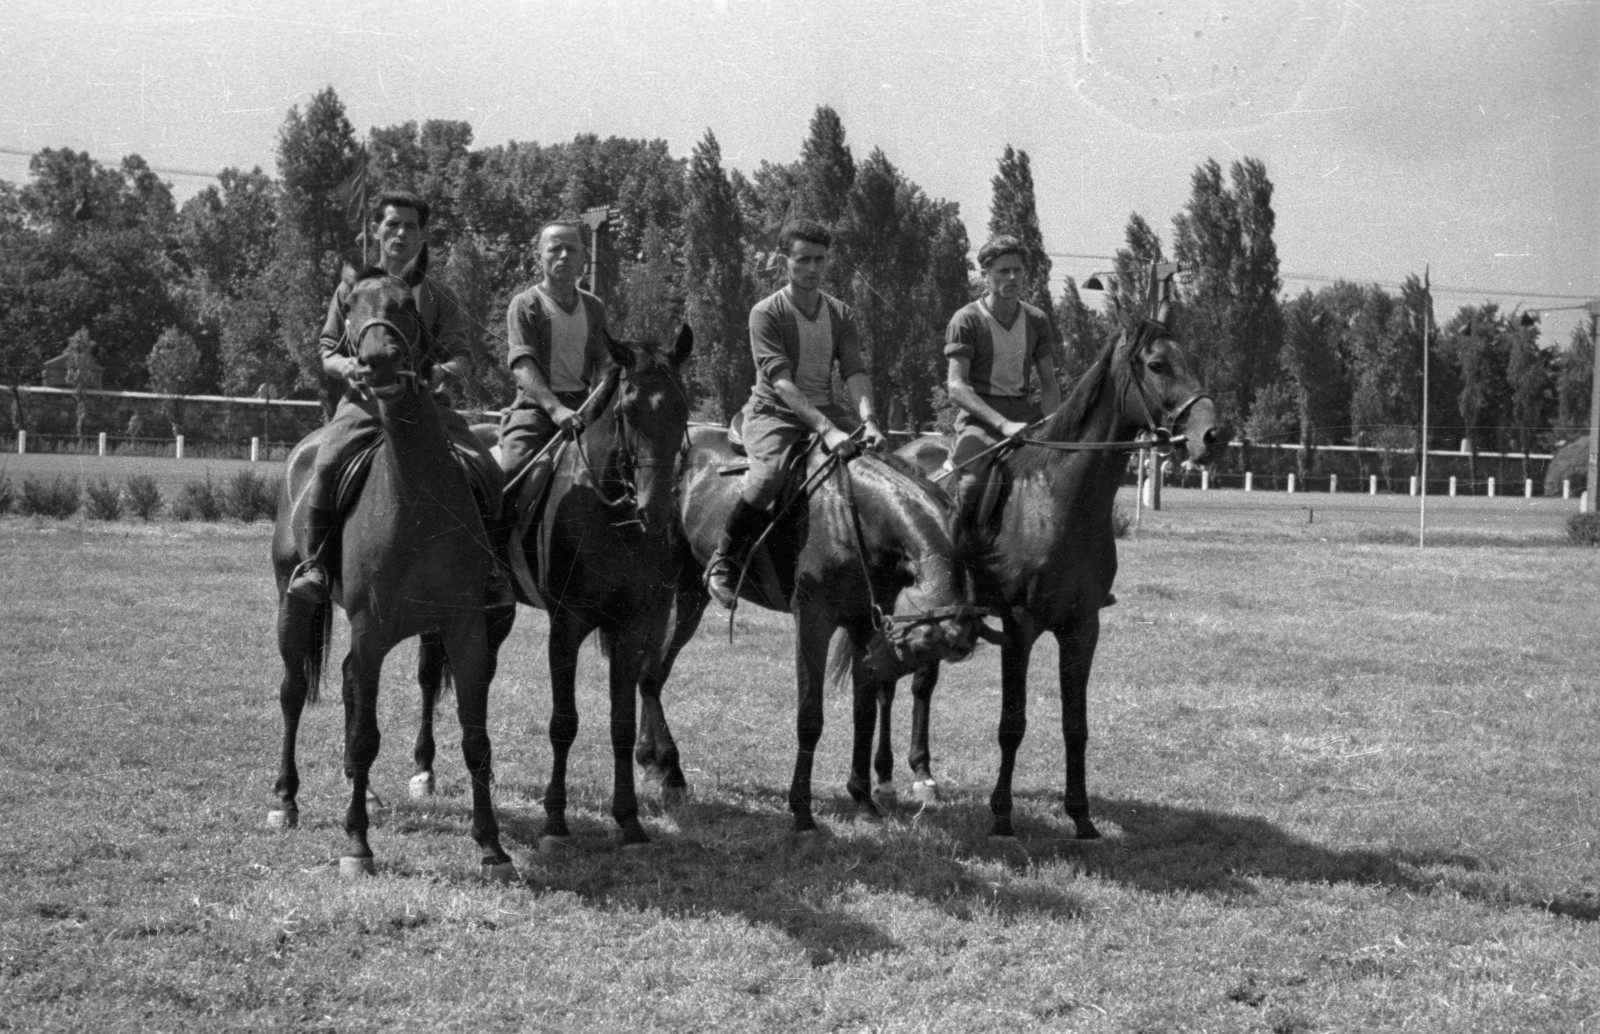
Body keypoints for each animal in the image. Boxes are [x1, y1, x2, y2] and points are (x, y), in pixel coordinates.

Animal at [412, 326, 694, 851]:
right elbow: (564, 722)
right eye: (628, 411)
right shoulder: (567, 625)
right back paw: (424, 769)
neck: (607, 514)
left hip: (497, 611)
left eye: (681, 410)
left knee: (482, 673)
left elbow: (622, 723)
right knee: (426, 676)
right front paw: (555, 821)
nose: (656, 509)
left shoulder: (630, 628)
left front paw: (629, 821)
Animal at [630, 432, 979, 838]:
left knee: (651, 675)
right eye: (918, 645)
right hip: (680, 590)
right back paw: (670, 771)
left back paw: (654, 763)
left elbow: (864, 716)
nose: (875, 669)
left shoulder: (862, 625)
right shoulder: (814, 622)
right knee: (651, 675)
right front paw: (802, 811)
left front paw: (864, 801)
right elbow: (810, 716)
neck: (853, 514)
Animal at [889, 315, 1222, 845]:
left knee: (923, 682)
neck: (1059, 500)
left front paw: (1082, 817)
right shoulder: (1019, 628)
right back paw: (913, 776)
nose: (1213, 435)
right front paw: (1002, 816)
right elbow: (1012, 724)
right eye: (1157, 364)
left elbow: (1075, 726)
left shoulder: (1083, 627)